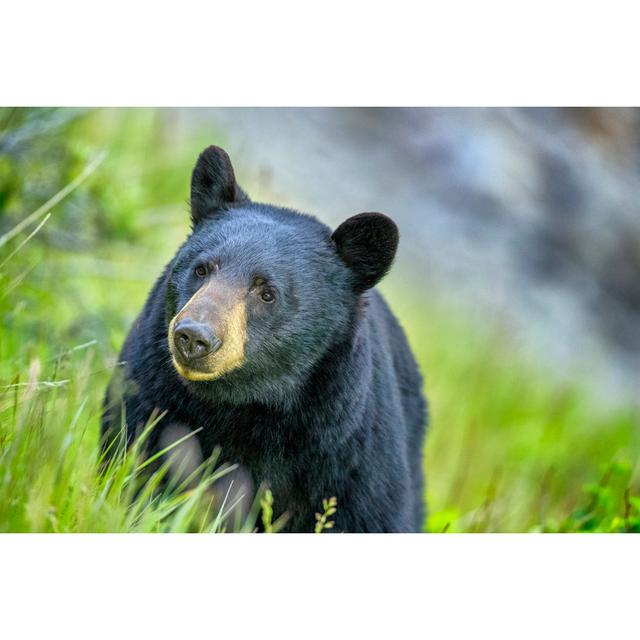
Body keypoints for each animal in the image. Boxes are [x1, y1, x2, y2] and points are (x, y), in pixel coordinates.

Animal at [102, 148, 428, 532]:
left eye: (267, 292)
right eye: (201, 268)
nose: (194, 337)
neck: (249, 406)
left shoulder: (352, 456)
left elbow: (372, 515)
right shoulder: (151, 395)